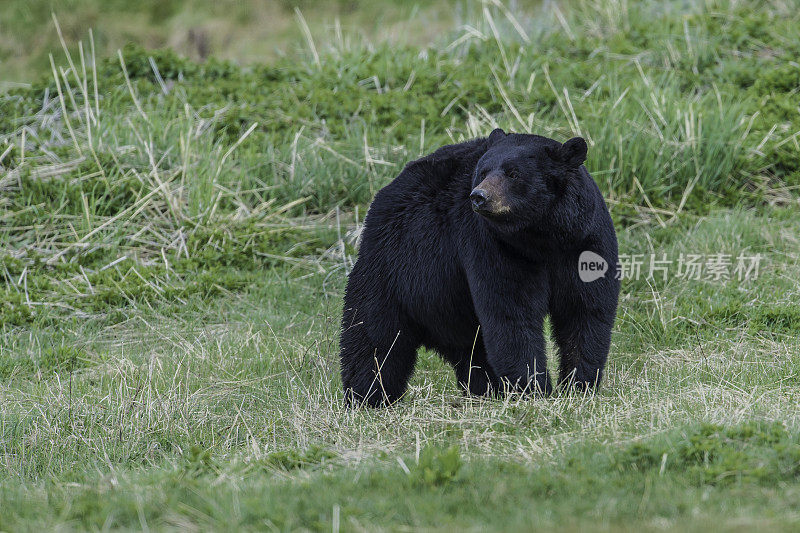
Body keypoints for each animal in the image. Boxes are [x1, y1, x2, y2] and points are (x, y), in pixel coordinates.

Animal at [338, 130, 620, 408]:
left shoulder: (584, 241)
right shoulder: (493, 246)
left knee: (472, 352)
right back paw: (367, 396)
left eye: (513, 173)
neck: (541, 239)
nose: (479, 196)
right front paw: (533, 389)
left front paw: (579, 386)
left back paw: (485, 390)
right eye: (483, 172)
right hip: (393, 266)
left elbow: (585, 309)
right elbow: (511, 311)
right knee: (374, 336)